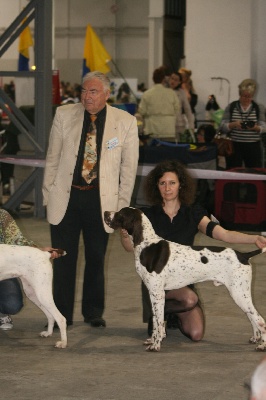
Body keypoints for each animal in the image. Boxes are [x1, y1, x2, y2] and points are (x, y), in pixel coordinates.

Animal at [104, 208, 266, 352]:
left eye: (120, 213)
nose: (105, 212)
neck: (147, 244)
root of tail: (243, 255)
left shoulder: (157, 293)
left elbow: (158, 321)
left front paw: (156, 345)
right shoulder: (154, 293)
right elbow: (157, 320)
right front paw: (154, 339)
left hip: (238, 293)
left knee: (260, 320)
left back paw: (262, 346)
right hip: (241, 294)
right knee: (252, 316)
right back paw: (255, 338)